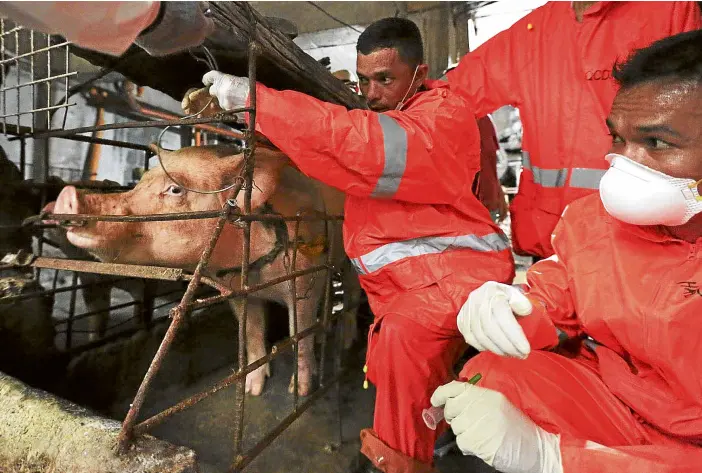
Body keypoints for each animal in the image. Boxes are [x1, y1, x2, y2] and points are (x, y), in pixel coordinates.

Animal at [50, 144, 360, 394]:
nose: (67, 194)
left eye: (175, 189)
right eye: (139, 184)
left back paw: (346, 343)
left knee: (351, 300)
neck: (255, 271)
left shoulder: (306, 282)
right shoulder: (238, 292)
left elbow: (299, 336)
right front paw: (251, 390)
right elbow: (251, 333)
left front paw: (301, 391)